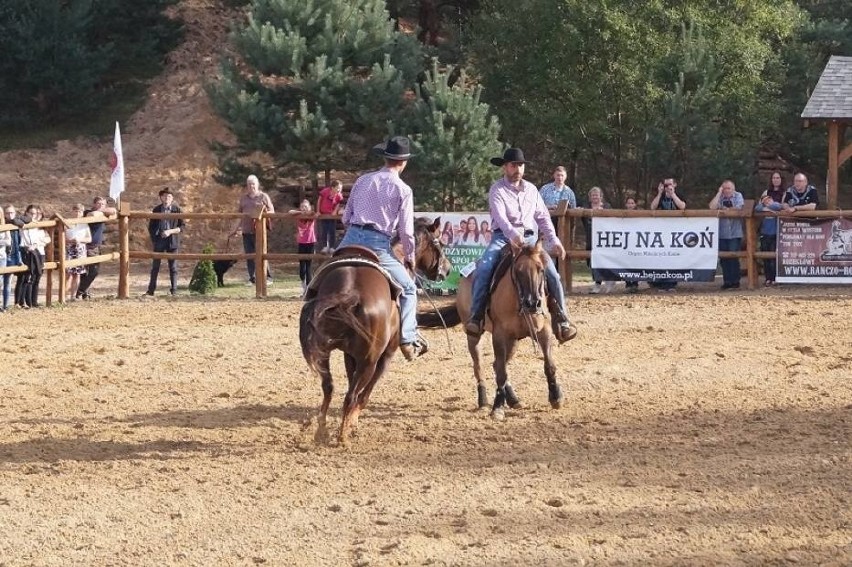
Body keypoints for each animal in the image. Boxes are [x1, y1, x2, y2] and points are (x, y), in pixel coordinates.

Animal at [298, 216, 450, 444]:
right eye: (440, 242)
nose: (447, 269)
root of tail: (349, 293)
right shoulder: (387, 354)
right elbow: (366, 392)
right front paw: (353, 423)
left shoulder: (349, 355)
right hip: (370, 360)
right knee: (352, 395)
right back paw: (342, 437)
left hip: (323, 352)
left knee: (329, 387)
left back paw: (322, 430)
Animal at [422, 240, 564, 418]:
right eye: (518, 270)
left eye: (541, 269)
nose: (532, 303)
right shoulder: (499, 335)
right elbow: (502, 373)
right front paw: (497, 407)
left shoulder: (543, 331)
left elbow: (549, 365)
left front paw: (556, 396)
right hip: (474, 336)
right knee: (480, 367)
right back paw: (483, 401)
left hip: (513, 341)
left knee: (497, 365)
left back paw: (513, 399)